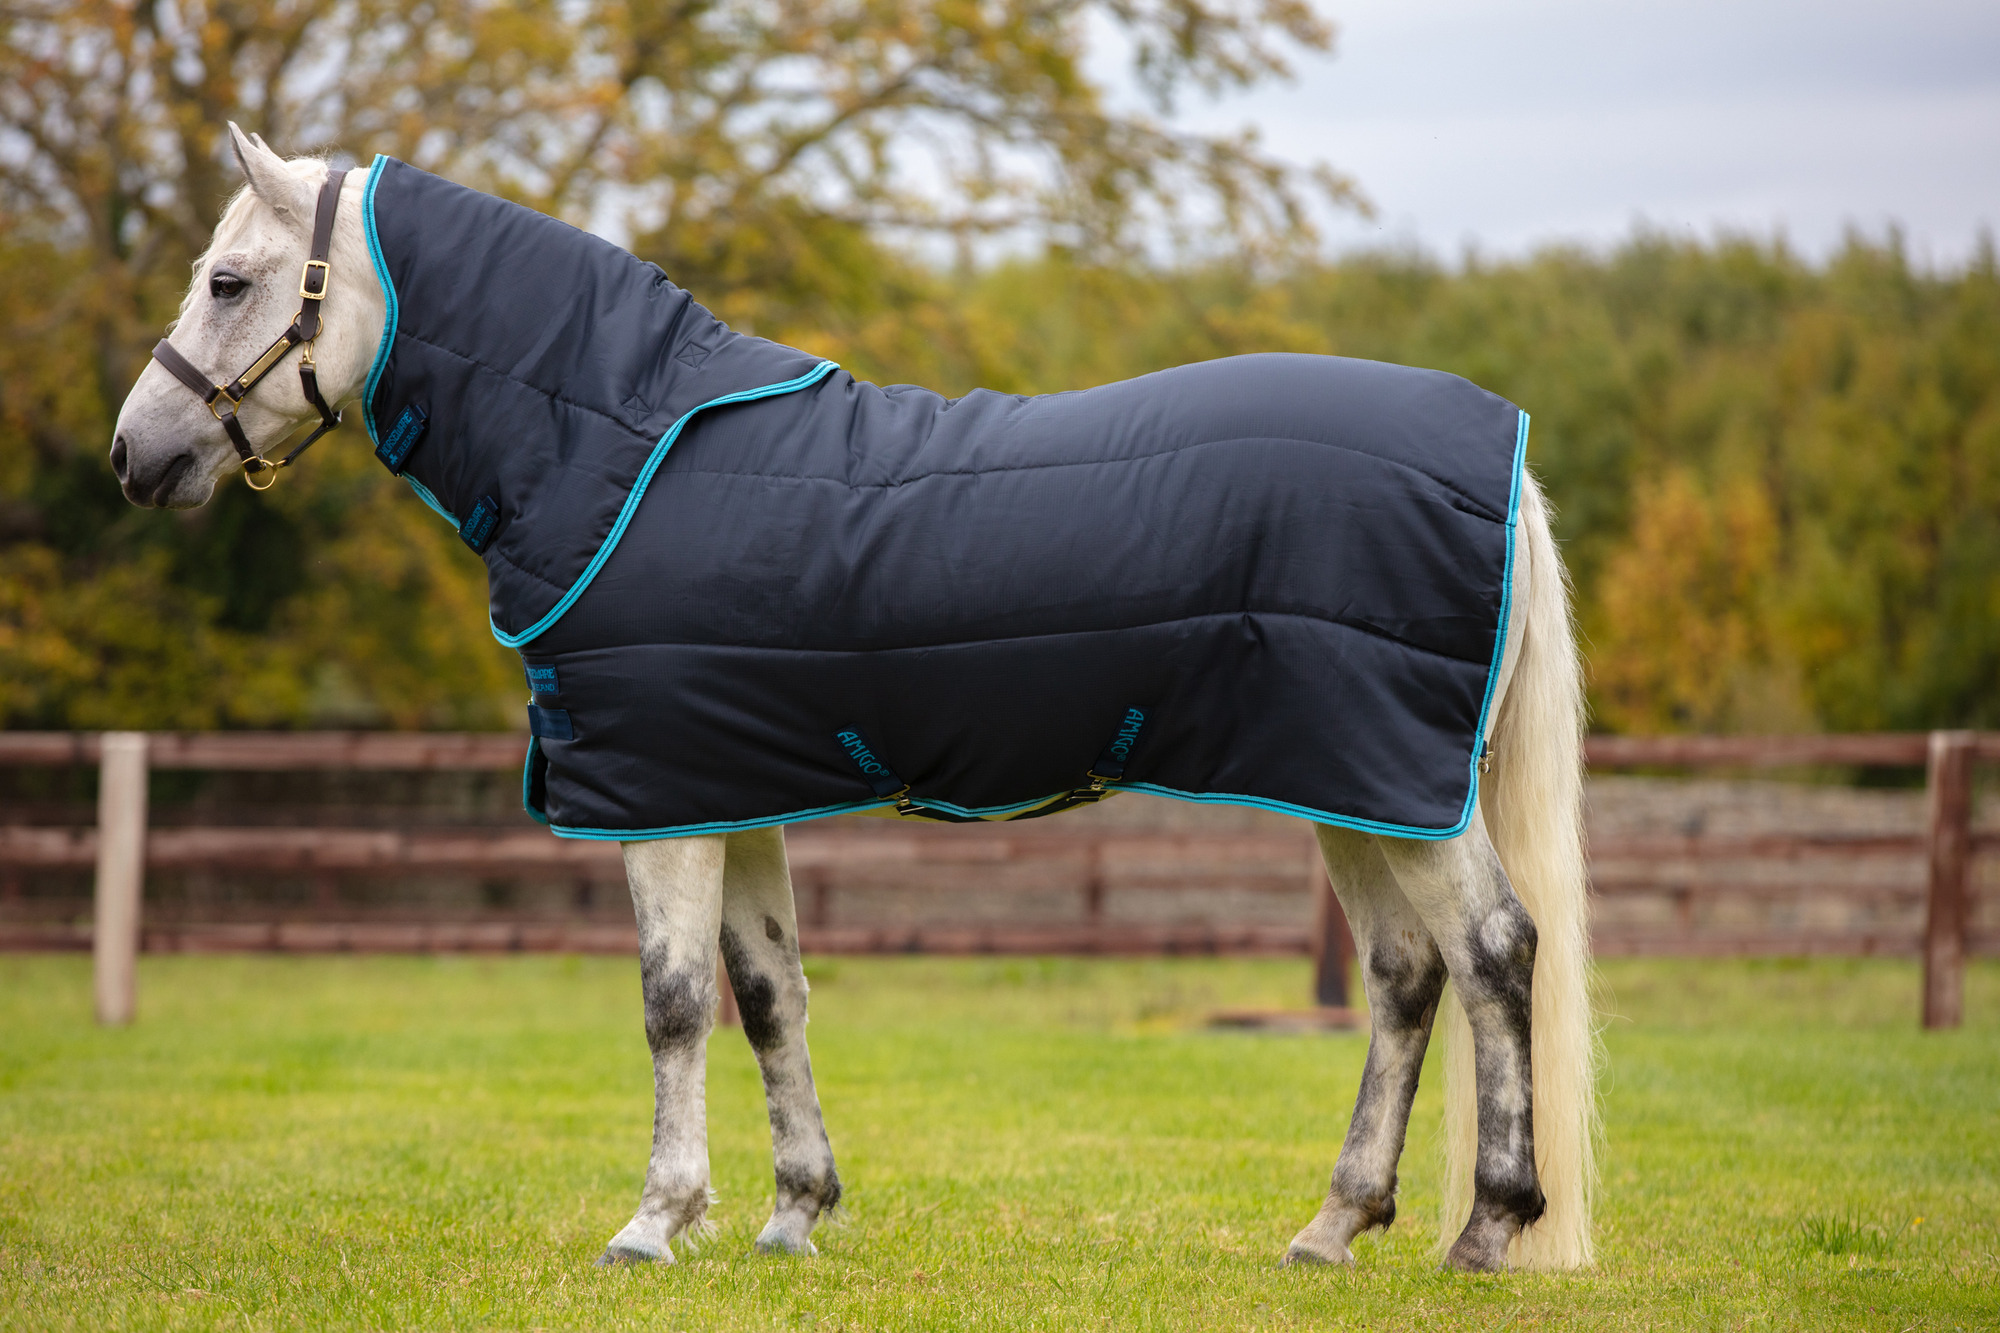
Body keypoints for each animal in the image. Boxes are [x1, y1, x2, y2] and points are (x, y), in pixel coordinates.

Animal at [112, 125, 1596, 1272]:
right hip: (1353, 783)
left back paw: (1487, 1228)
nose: (136, 455)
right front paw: (791, 1216)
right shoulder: (727, 787)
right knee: (1405, 975)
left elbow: (672, 1002)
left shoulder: (658, 802)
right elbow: (770, 994)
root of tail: (1507, 455)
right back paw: (1332, 1228)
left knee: (1492, 951)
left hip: (1389, 783)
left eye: (229, 281)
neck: (617, 447)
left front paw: (654, 1223)